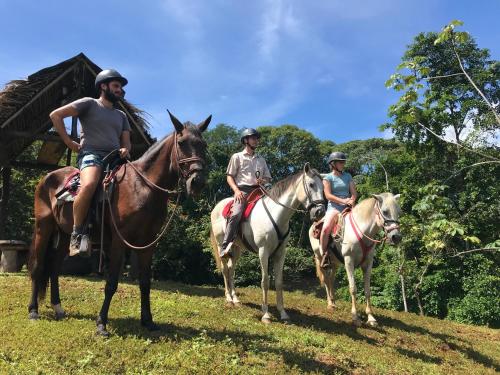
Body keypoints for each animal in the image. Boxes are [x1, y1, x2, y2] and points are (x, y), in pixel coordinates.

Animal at [27, 111, 211, 338]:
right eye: (182, 142)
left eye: (203, 144)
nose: (197, 181)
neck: (143, 186)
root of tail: (47, 178)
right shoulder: (118, 241)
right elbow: (112, 283)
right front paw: (101, 324)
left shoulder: (148, 244)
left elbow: (145, 282)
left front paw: (148, 321)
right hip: (43, 228)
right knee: (38, 266)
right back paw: (33, 310)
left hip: (64, 235)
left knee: (54, 269)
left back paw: (58, 308)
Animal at [210, 163, 324, 324]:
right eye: (311, 184)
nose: (320, 211)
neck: (276, 214)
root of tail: (216, 207)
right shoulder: (263, 252)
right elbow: (265, 281)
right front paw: (266, 315)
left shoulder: (280, 253)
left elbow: (279, 282)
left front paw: (283, 313)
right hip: (223, 247)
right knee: (226, 270)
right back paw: (229, 299)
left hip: (237, 248)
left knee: (231, 270)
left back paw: (235, 298)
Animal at [308, 192, 402, 328]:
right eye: (385, 211)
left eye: (399, 213)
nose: (397, 237)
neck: (362, 232)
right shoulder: (349, 261)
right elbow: (353, 289)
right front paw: (355, 317)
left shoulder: (368, 264)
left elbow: (367, 291)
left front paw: (371, 318)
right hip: (321, 259)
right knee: (325, 279)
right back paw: (330, 304)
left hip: (335, 263)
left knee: (331, 279)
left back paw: (334, 303)